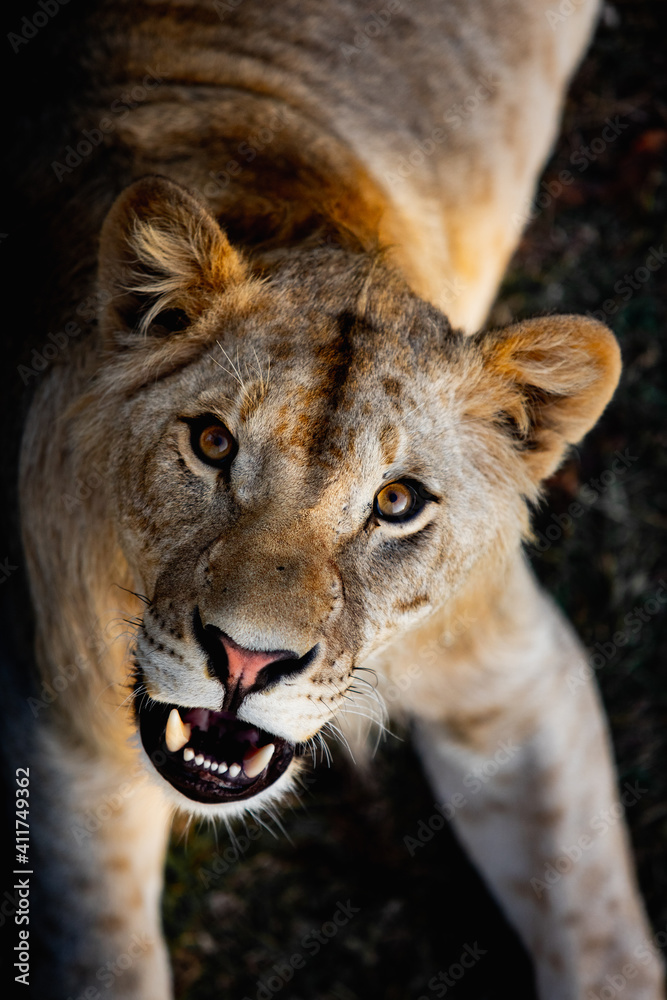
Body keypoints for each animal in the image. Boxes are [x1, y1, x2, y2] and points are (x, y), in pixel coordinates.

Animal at [4, 0, 664, 997]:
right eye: (211, 444)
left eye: (395, 502)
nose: (245, 663)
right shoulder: (71, 744)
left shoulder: (514, 676)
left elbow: (602, 948)